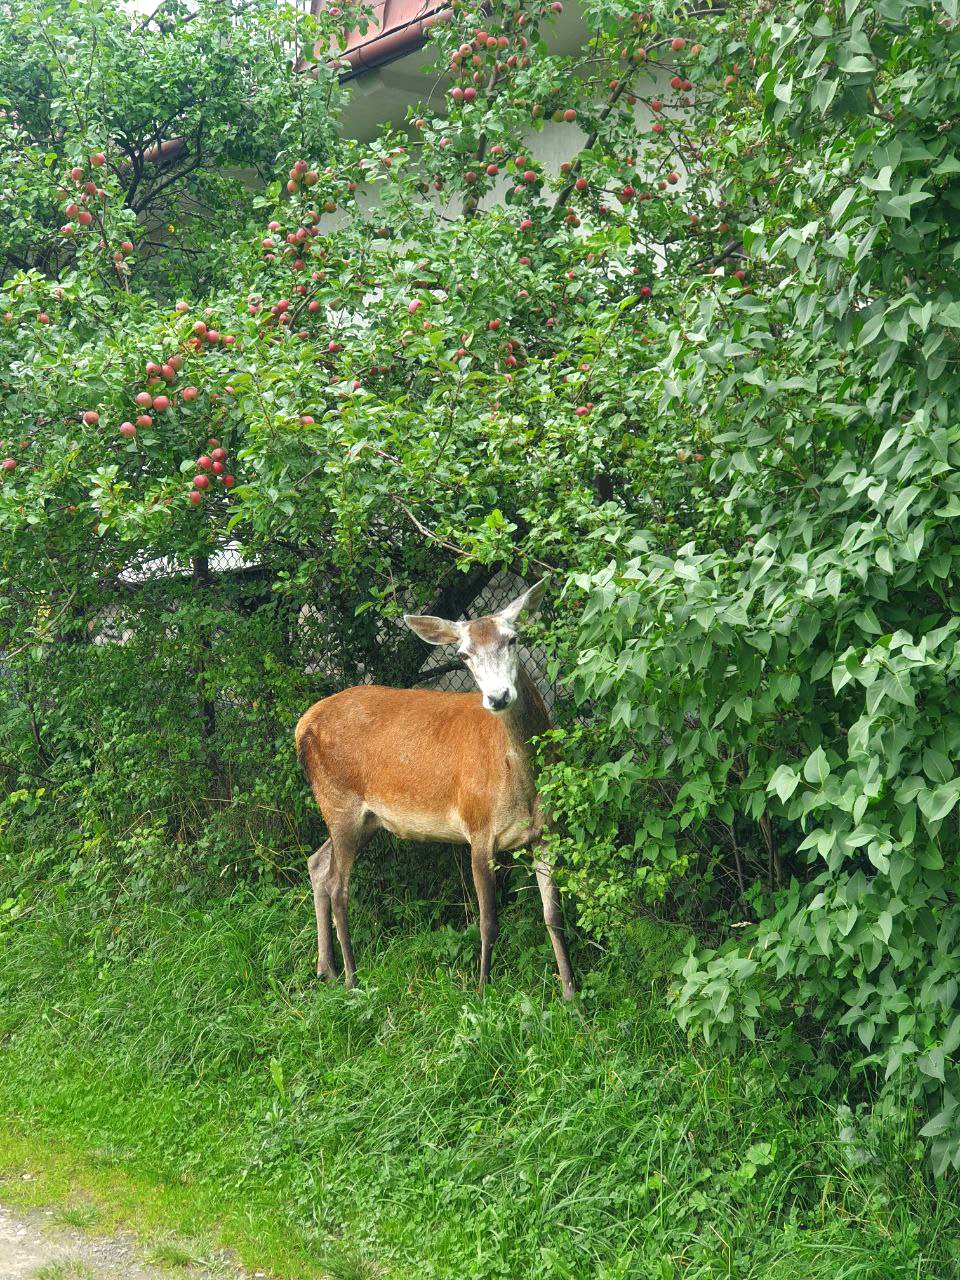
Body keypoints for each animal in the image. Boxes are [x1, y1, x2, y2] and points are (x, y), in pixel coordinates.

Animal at [296, 581, 576, 998]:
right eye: (463, 654)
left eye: (512, 638)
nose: (498, 696)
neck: (521, 784)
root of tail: (302, 726)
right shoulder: (478, 829)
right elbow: (488, 921)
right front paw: (482, 989)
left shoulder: (545, 831)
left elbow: (553, 915)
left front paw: (571, 993)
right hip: (340, 802)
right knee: (337, 884)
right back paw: (351, 977)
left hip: (364, 818)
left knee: (316, 863)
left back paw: (325, 968)